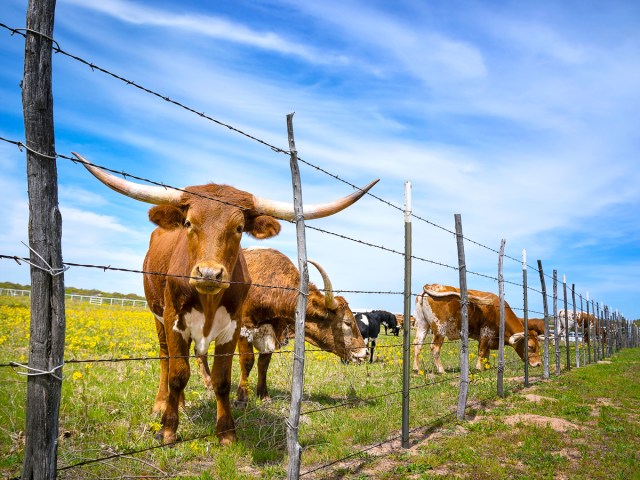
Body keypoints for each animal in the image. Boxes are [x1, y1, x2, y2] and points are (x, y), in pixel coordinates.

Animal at [213, 247, 368, 404]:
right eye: (347, 322)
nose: (365, 352)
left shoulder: (272, 335)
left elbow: (264, 363)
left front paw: (264, 395)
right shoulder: (244, 328)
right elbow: (247, 361)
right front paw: (242, 397)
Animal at [413, 284, 545, 374]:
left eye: (539, 346)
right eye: (530, 346)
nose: (539, 363)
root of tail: (432, 285)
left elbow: (486, 353)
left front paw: (487, 367)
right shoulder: (486, 333)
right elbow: (481, 351)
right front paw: (478, 368)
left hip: (422, 324)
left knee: (417, 345)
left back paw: (416, 369)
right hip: (440, 329)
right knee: (434, 348)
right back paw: (441, 370)